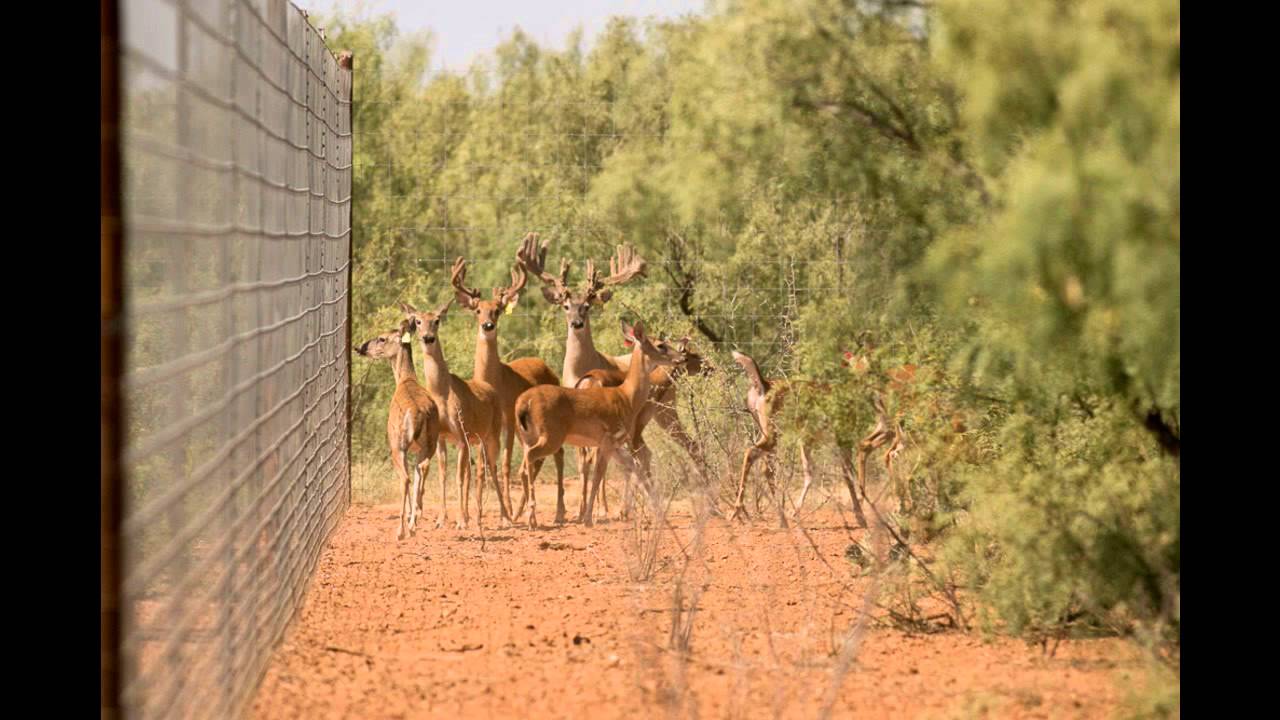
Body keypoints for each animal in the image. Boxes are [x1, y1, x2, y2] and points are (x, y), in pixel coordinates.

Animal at [355, 319, 442, 540]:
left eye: (382, 338)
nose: (360, 348)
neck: (405, 380)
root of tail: (419, 412)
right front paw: (415, 518)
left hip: (397, 444)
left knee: (406, 478)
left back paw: (401, 530)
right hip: (430, 442)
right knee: (423, 468)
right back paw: (415, 520)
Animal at [400, 297, 510, 529]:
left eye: (437, 320)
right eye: (418, 321)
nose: (428, 337)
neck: (441, 394)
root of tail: (490, 388)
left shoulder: (460, 435)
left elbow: (458, 478)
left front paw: (460, 521)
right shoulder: (440, 437)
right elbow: (443, 475)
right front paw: (442, 519)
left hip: (492, 435)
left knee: (492, 468)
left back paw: (504, 518)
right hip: (476, 440)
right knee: (477, 470)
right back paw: (474, 516)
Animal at [448, 251, 568, 523]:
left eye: (497, 311)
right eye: (477, 310)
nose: (487, 326)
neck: (496, 381)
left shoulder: (509, 420)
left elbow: (504, 464)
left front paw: (507, 512)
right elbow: (484, 465)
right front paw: (484, 511)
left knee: (557, 455)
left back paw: (557, 512)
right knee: (536, 459)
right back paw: (526, 509)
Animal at [512, 321, 687, 528]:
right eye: (661, 345)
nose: (681, 357)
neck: (626, 397)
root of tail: (524, 402)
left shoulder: (615, 444)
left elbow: (631, 470)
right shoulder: (608, 439)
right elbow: (598, 475)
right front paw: (589, 518)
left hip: (527, 437)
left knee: (523, 467)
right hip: (550, 437)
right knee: (530, 460)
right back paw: (532, 518)